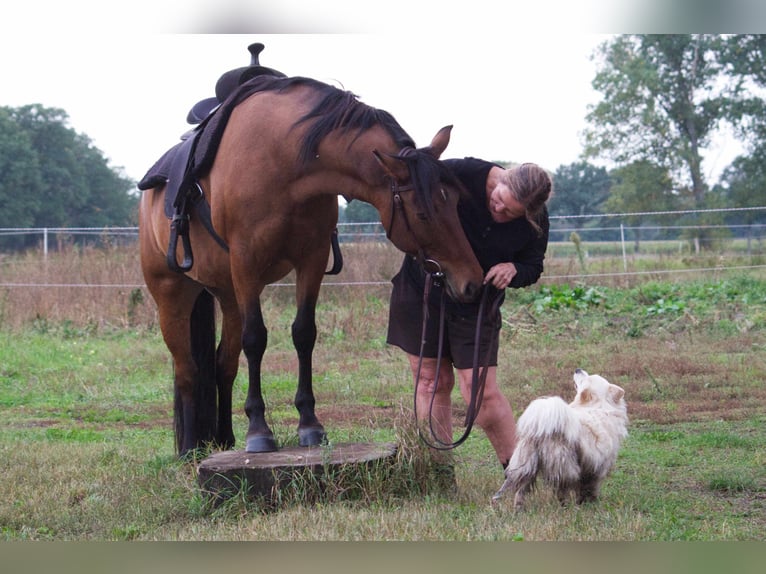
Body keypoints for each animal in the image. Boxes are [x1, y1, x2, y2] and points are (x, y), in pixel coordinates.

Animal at [141, 74, 484, 456]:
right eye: (423, 213)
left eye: (454, 200)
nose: (472, 282)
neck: (285, 161)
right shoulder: (246, 263)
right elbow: (256, 338)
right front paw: (258, 430)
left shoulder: (312, 260)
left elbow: (304, 333)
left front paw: (310, 424)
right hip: (172, 294)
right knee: (187, 368)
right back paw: (189, 449)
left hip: (227, 295)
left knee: (223, 364)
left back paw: (225, 439)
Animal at [496, 372, 628, 510]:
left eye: (584, 379)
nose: (577, 369)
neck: (598, 405)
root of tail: (543, 429)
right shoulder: (597, 467)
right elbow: (590, 487)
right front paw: (589, 502)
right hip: (565, 466)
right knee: (562, 490)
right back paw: (566, 507)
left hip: (528, 465)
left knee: (521, 490)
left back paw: (519, 509)